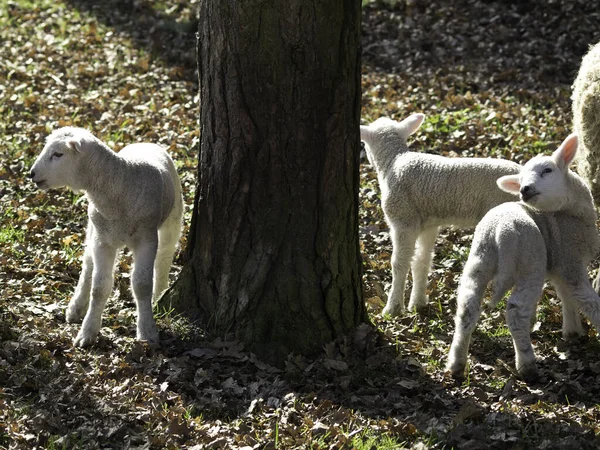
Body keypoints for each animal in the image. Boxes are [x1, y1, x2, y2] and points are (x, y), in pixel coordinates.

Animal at [29, 128, 183, 346]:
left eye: (58, 154)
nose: (31, 174)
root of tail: (144, 142)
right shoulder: (103, 241)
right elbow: (99, 287)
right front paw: (87, 332)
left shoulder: (147, 239)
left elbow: (142, 285)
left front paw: (147, 332)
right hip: (94, 228)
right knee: (87, 263)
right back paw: (76, 307)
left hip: (173, 216)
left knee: (165, 255)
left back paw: (160, 293)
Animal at [360, 114, 520, 314]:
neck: (393, 162)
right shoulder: (428, 225)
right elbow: (422, 262)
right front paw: (418, 302)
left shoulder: (403, 220)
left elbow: (399, 263)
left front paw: (393, 308)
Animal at [448, 134, 600, 380]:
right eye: (520, 182)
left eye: (547, 170)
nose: (525, 189)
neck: (572, 213)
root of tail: (501, 232)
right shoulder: (570, 258)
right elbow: (586, 299)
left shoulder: (559, 264)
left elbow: (566, 295)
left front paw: (572, 332)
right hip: (530, 262)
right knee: (516, 311)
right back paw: (527, 365)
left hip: (480, 259)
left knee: (467, 307)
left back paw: (456, 363)